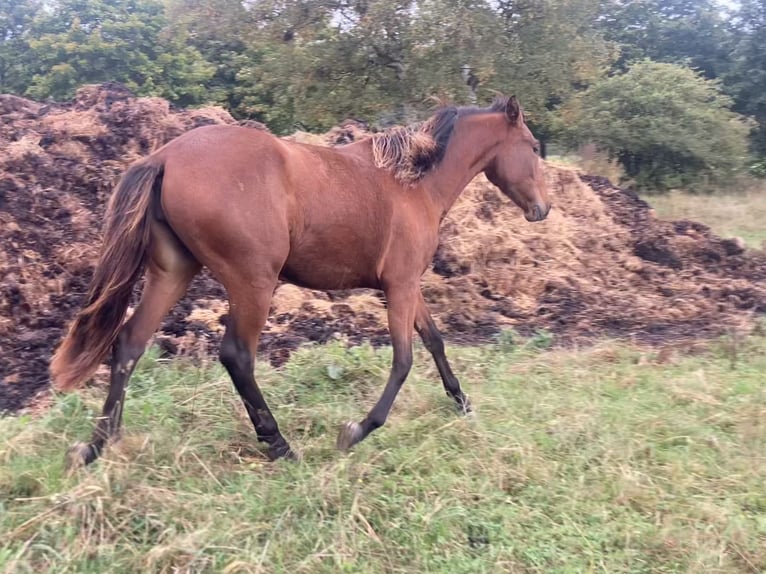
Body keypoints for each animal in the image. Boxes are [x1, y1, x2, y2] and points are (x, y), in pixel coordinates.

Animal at [49, 92, 552, 466]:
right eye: (532, 146)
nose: (542, 209)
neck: (413, 181)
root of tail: (166, 157)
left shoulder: (408, 285)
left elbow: (434, 342)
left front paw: (463, 404)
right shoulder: (400, 286)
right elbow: (405, 360)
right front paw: (357, 430)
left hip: (173, 273)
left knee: (129, 344)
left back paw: (97, 445)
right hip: (252, 281)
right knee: (236, 356)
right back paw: (279, 444)